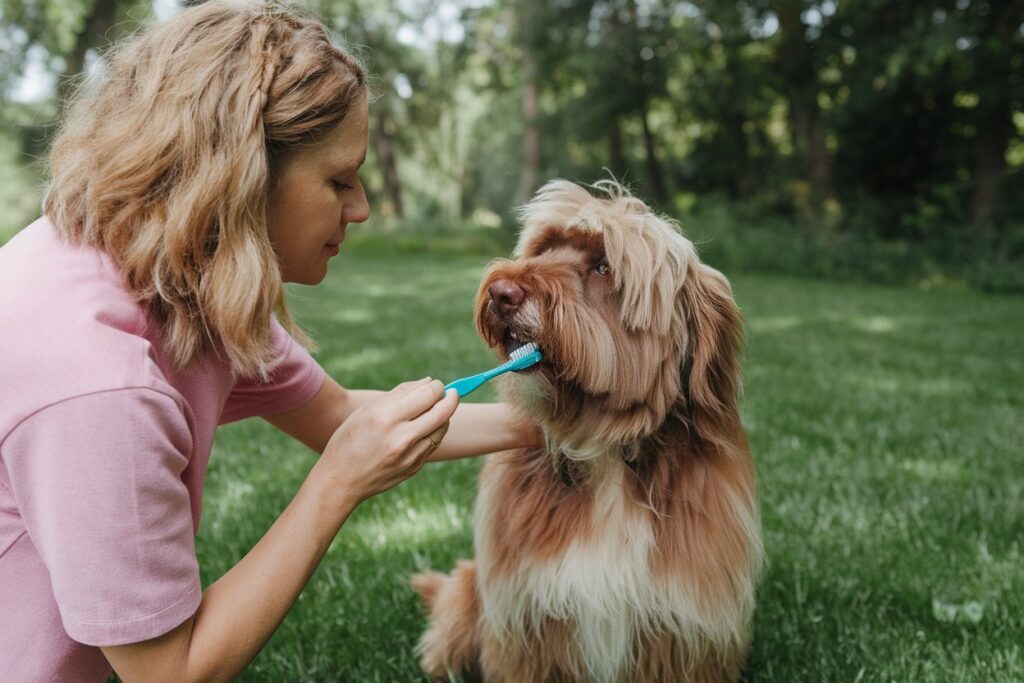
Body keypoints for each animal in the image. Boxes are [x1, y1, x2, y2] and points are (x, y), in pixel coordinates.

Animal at [409, 180, 761, 683]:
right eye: (543, 248)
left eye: (603, 266)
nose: (501, 292)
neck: (604, 452)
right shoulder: (526, 623)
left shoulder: (679, 631)